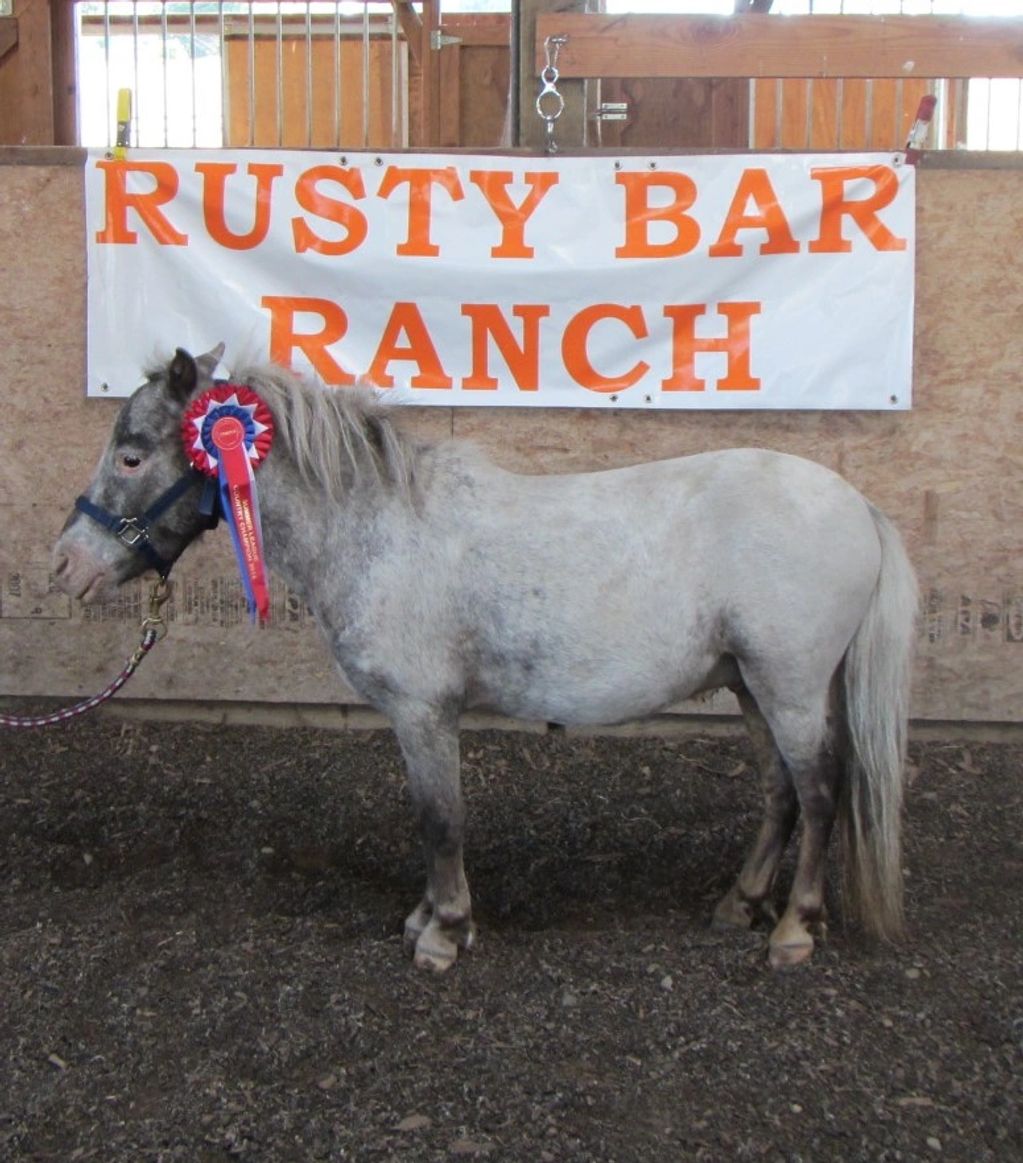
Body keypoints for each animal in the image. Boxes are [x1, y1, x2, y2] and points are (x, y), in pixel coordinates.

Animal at [54, 344, 920, 972]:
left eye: (131, 456)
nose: (68, 565)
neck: (381, 528)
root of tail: (854, 503)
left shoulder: (423, 713)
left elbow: (440, 819)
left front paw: (442, 931)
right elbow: (431, 820)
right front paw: (424, 917)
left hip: (791, 686)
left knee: (818, 792)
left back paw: (793, 929)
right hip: (750, 685)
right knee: (779, 793)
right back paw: (740, 904)